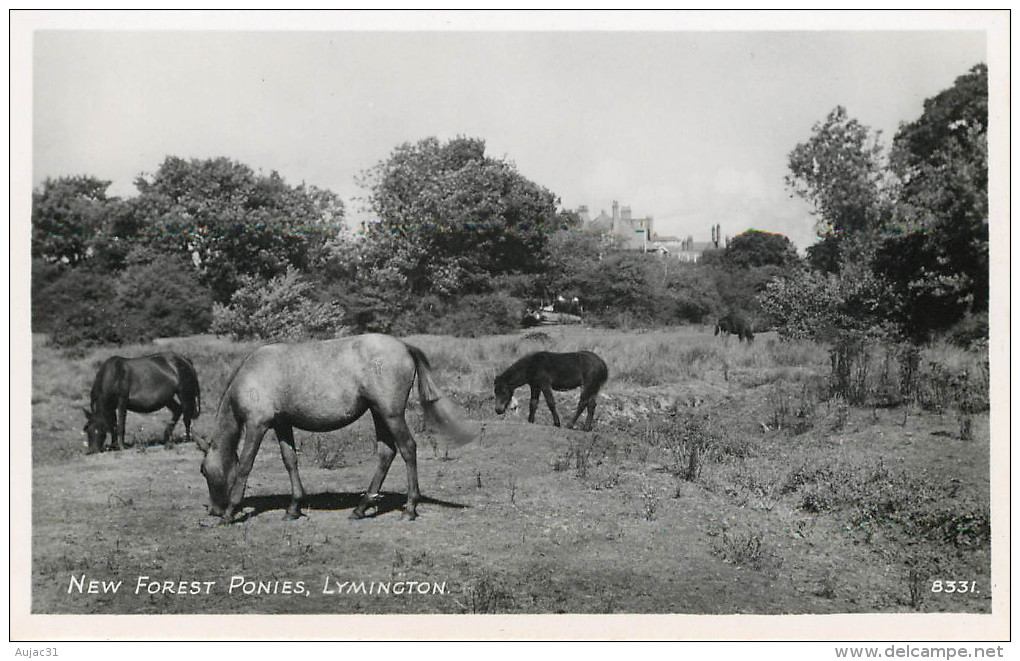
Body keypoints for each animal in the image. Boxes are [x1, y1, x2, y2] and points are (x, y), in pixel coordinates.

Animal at [199, 332, 477, 522]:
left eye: (203, 471)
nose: (213, 510)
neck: (251, 376)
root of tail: (404, 346)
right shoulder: (282, 425)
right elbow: (290, 461)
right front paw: (294, 507)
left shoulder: (257, 425)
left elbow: (245, 465)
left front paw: (231, 511)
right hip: (378, 413)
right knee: (386, 453)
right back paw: (361, 507)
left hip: (391, 414)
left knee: (408, 448)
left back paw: (409, 508)